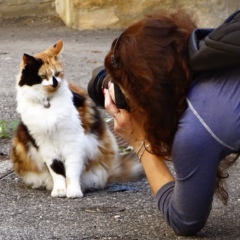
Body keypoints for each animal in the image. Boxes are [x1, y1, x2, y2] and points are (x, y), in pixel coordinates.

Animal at [10, 40, 142, 198]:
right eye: (43, 76)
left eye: (57, 74)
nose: (55, 83)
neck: (47, 103)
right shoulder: (45, 145)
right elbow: (56, 170)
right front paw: (59, 190)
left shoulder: (73, 141)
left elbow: (72, 170)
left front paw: (73, 191)